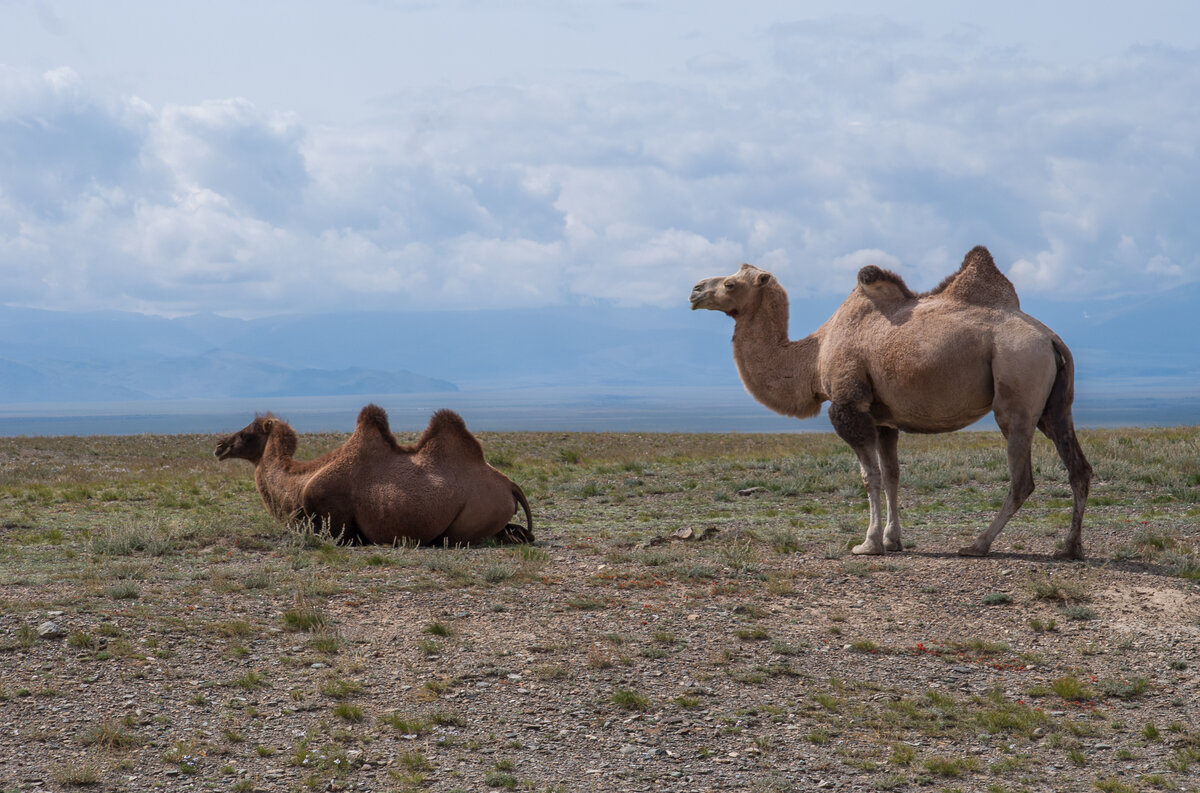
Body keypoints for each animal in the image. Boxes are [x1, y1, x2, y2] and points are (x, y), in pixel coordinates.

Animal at [216, 403, 535, 544]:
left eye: (246, 434)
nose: (220, 446)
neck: (298, 485)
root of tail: (511, 485)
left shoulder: (334, 521)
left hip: (473, 516)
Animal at [691, 244, 1094, 559]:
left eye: (730, 283)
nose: (695, 290)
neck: (814, 356)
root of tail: (1051, 338)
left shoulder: (848, 405)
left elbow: (869, 476)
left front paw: (868, 543)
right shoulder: (883, 418)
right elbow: (892, 475)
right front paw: (892, 540)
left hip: (1017, 385)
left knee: (1022, 477)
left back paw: (978, 544)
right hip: (1055, 406)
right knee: (1078, 466)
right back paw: (1069, 548)